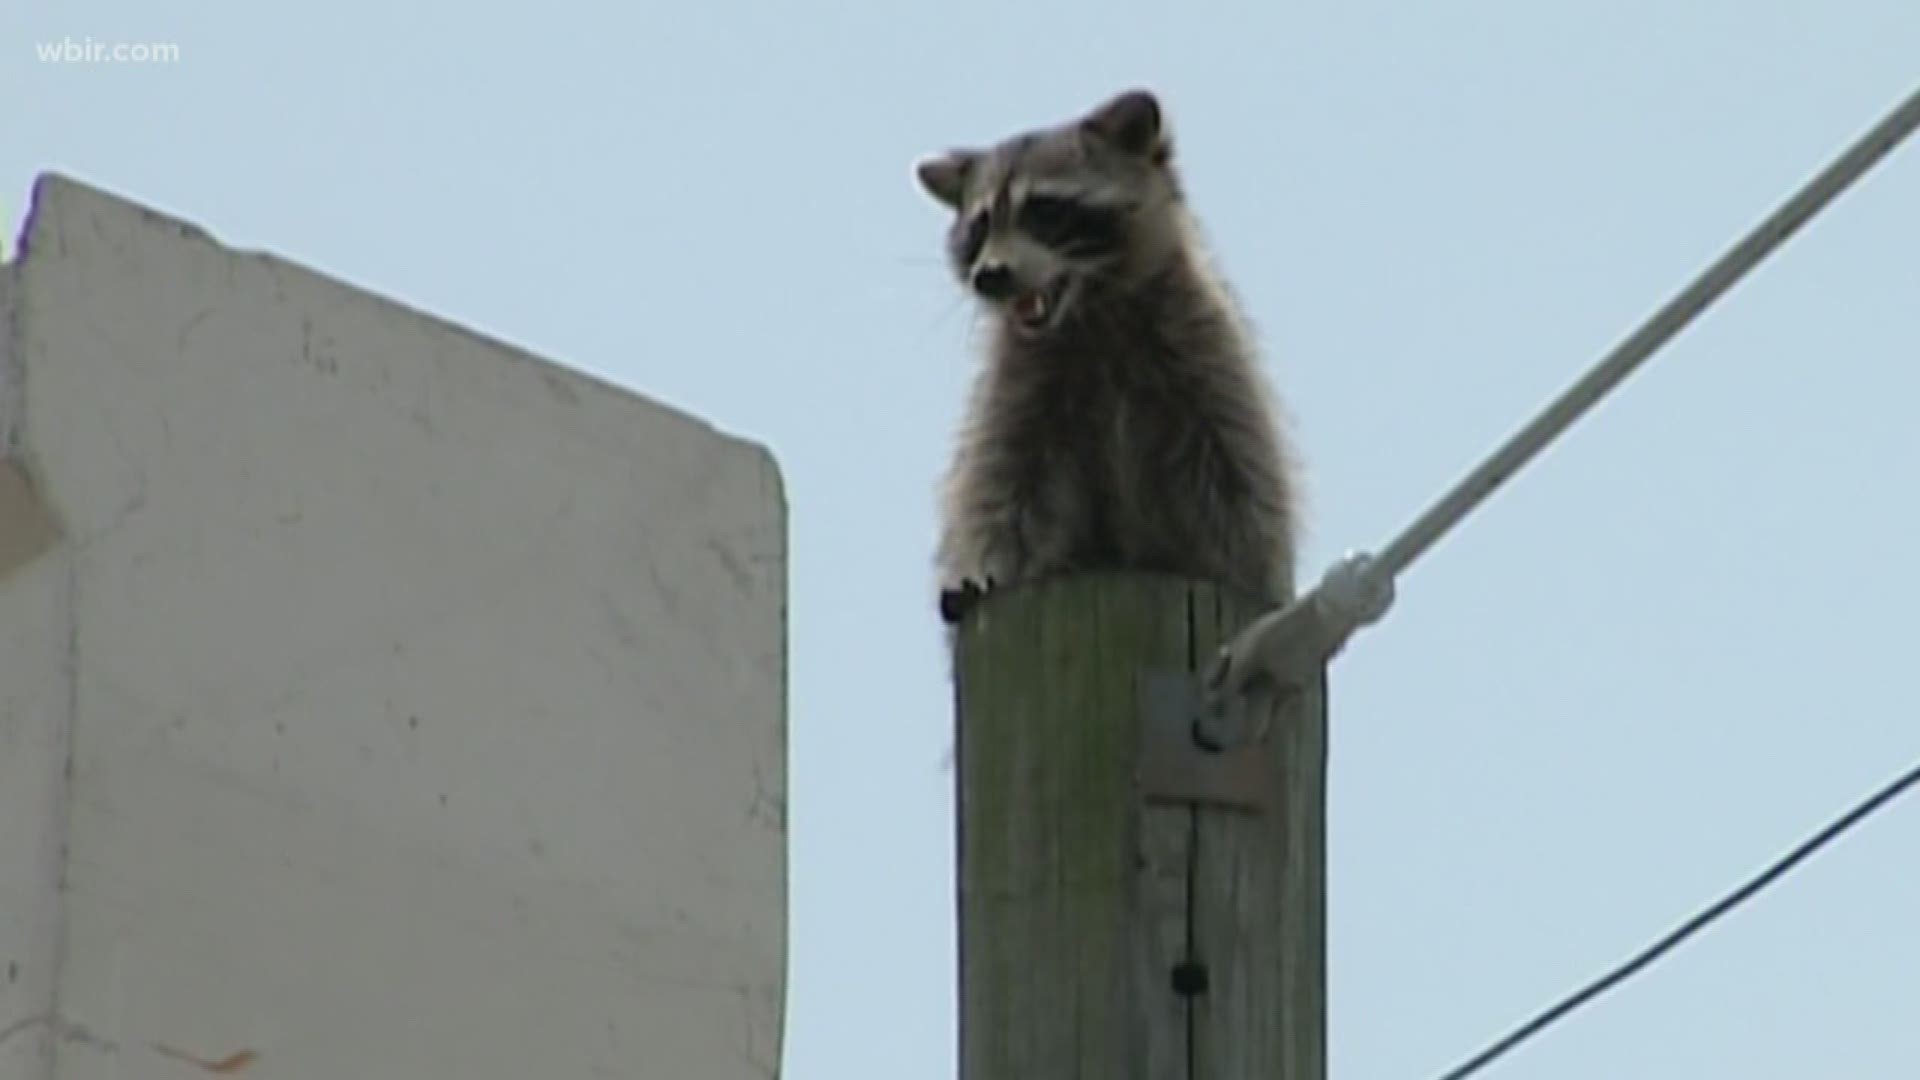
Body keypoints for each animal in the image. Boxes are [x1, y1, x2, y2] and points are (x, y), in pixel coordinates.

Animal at [917, 90, 1305, 622]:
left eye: (1044, 210)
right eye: (979, 227)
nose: (989, 276)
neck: (1091, 314)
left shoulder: (1207, 362)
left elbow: (1241, 492)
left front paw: (1242, 572)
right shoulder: (1020, 391)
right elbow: (1003, 493)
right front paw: (991, 569)